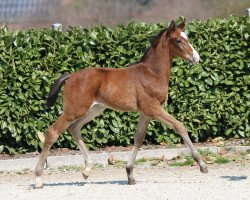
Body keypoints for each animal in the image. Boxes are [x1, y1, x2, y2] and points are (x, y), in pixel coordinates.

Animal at [34, 18, 207, 188]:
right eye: (178, 40)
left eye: (187, 38)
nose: (196, 58)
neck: (151, 73)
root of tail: (70, 76)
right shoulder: (153, 108)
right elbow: (179, 126)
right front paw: (202, 165)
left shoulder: (145, 112)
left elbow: (139, 138)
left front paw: (129, 174)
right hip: (74, 110)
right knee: (52, 132)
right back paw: (38, 179)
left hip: (93, 109)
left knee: (74, 128)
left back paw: (87, 170)